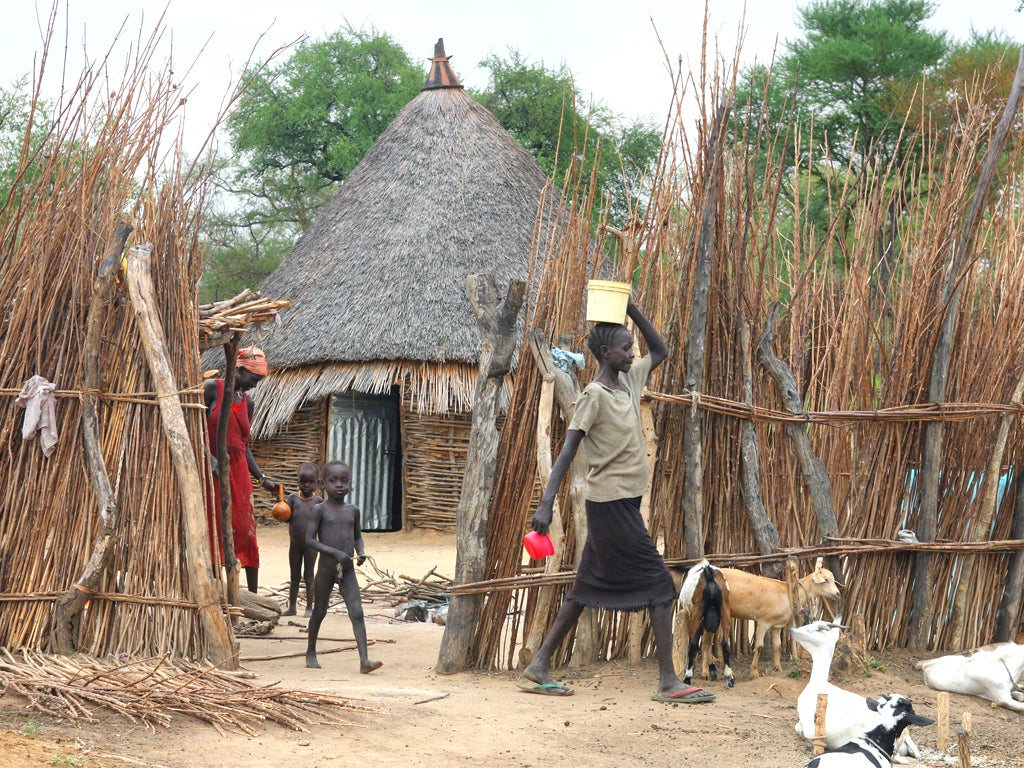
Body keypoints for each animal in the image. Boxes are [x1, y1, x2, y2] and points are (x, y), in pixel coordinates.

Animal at [675, 561, 733, 692]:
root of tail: (709, 576)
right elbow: (708, 641)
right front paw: (712, 669)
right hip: (725, 610)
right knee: (725, 644)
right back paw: (729, 677)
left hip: (697, 613)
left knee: (693, 645)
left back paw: (687, 677)